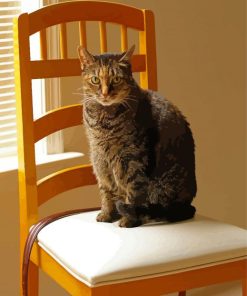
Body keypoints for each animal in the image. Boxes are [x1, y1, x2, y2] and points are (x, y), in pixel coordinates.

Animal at [77, 45, 197, 228]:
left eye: (116, 79)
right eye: (95, 79)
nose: (105, 93)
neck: (103, 120)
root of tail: (187, 205)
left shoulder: (132, 158)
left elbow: (132, 192)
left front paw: (128, 220)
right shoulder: (100, 159)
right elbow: (106, 191)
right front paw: (107, 214)